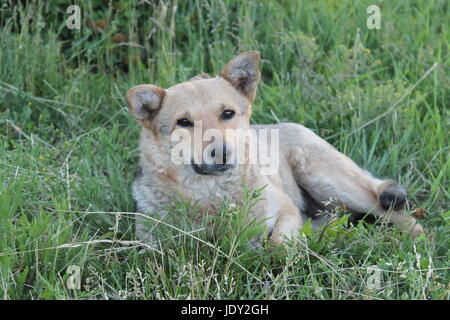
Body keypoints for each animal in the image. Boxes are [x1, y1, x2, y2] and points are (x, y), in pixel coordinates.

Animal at [126, 51, 426, 244]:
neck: (211, 193)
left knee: (395, 213)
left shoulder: (286, 209)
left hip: (331, 182)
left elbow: (278, 245)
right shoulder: (150, 243)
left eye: (227, 113)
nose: (222, 152)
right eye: (184, 122)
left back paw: (415, 240)